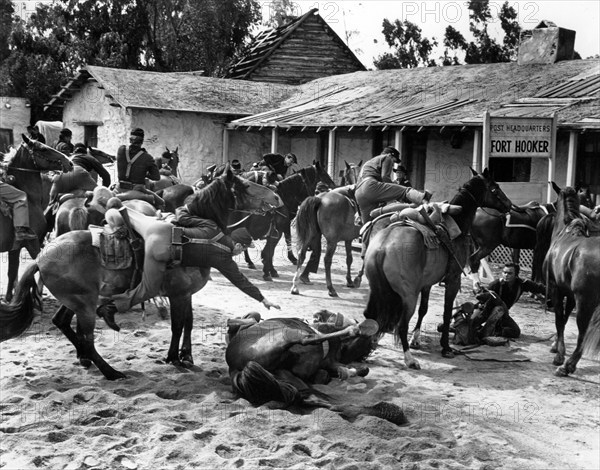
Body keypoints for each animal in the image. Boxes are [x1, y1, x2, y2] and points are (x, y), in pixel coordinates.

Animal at [0, 134, 73, 300]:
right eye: (43, 148)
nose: (69, 162)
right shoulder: (32, 242)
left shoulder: (15, 248)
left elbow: (12, 273)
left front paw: (9, 300)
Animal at [0, 171, 282, 380]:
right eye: (246, 184)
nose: (277, 196)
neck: (191, 237)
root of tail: (40, 258)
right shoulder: (178, 294)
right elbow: (178, 324)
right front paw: (173, 357)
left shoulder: (186, 294)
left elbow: (188, 323)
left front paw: (186, 356)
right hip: (85, 304)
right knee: (87, 338)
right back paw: (110, 371)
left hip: (76, 301)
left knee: (62, 322)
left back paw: (86, 358)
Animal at [225, 312, 408, 426]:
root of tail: (235, 367)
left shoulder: (329, 361)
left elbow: (354, 369)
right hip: (288, 335)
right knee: (308, 339)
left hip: (287, 377)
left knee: (314, 399)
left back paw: (384, 411)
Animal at [360, 169, 510, 368]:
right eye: (495, 188)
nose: (509, 205)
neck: (457, 224)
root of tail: (382, 247)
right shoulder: (453, 279)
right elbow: (447, 313)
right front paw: (446, 347)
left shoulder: (427, 283)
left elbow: (424, 309)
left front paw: (416, 339)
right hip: (408, 296)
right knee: (401, 325)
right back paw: (409, 359)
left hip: (378, 289)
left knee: (372, 316)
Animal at [540, 186, 600, 374]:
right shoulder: (570, 295)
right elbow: (564, 319)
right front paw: (557, 347)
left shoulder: (556, 289)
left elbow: (559, 319)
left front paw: (559, 355)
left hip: (586, 303)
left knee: (583, 332)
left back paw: (568, 366)